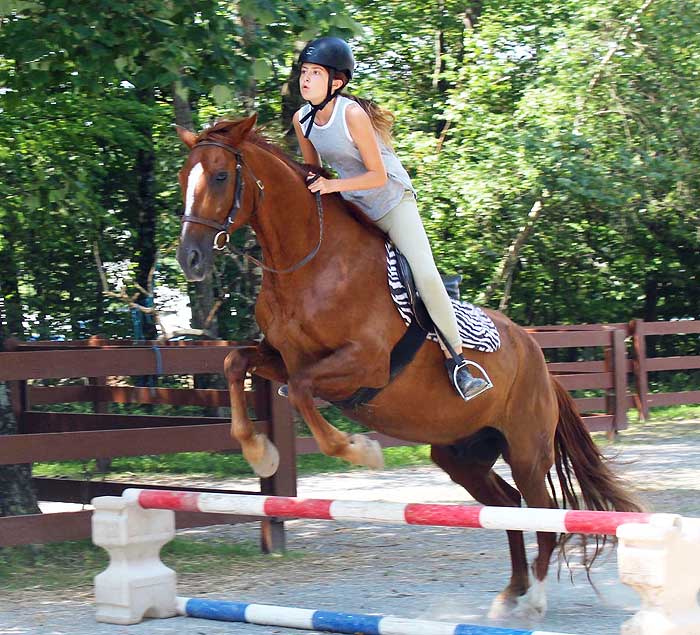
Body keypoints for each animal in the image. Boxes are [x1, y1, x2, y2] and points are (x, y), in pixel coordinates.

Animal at [176, 115, 640, 620]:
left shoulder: (364, 365)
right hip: (462, 454)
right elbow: (234, 361)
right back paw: (511, 591)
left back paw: (533, 598)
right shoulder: (282, 358)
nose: (189, 259)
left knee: (542, 511)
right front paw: (260, 451)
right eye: (183, 177)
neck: (309, 263)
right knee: (507, 506)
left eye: (221, 176)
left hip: (526, 450)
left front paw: (359, 450)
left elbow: (300, 390)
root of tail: (539, 360)